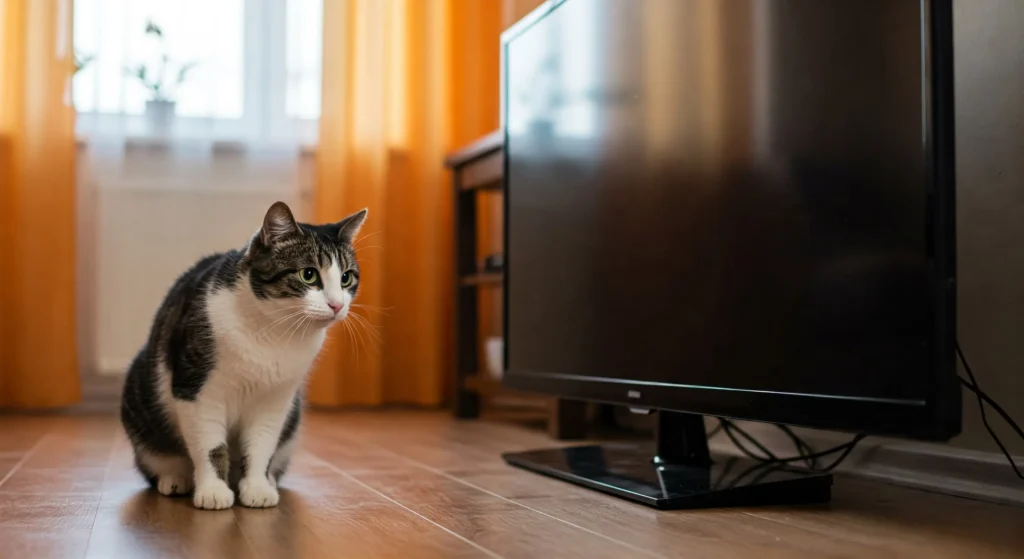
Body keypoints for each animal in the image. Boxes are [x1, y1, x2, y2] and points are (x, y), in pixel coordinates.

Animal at [119, 200, 368, 509]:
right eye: (308, 274)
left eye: (346, 278)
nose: (337, 305)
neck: (274, 334)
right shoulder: (197, 390)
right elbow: (209, 445)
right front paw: (213, 491)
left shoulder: (276, 401)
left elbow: (261, 446)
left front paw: (258, 487)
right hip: (141, 392)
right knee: (157, 460)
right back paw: (175, 479)